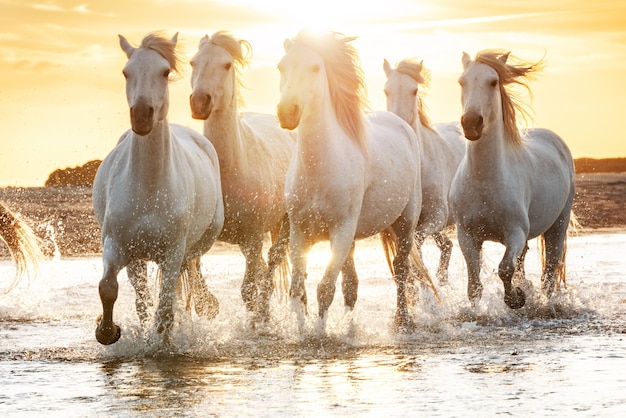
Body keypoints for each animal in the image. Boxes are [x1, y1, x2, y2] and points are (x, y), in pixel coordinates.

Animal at [90, 32, 222, 344]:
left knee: (191, 273)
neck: (150, 189)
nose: (141, 115)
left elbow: (165, 308)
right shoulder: (117, 245)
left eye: (165, 72)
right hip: (138, 257)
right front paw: (108, 331)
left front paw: (161, 342)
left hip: (199, 241)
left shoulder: (172, 253)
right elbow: (109, 287)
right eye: (126, 72)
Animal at [188, 31, 294, 324]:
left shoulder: (254, 237)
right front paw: (208, 305)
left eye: (226, 65)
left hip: (284, 224)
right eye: (193, 62)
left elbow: (249, 289)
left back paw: (264, 312)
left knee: (272, 261)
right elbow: (194, 272)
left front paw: (256, 320)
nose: (199, 102)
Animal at [276, 29, 428, 332]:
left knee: (401, 269)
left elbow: (324, 288)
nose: (287, 112)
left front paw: (319, 334)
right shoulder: (299, 232)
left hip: (405, 224)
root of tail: (401, 124)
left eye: (315, 67)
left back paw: (402, 320)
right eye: (281, 67)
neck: (320, 168)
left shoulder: (341, 231)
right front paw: (301, 331)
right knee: (352, 283)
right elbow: (298, 289)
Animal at [380, 58, 464, 284]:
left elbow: (416, 246)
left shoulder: (437, 216)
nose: (399, 123)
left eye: (415, 90)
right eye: (386, 90)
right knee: (447, 246)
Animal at [448, 50, 576, 308]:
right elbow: (474, 284)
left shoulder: (515, 233)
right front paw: (477, 312)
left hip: (558, 225)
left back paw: (544, 303)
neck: (485, 180)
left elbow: (505, 268)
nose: (471, 123)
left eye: (493, 82)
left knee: (549, 273)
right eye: (461, 81)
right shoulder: (466, 235)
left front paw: (516, 297)